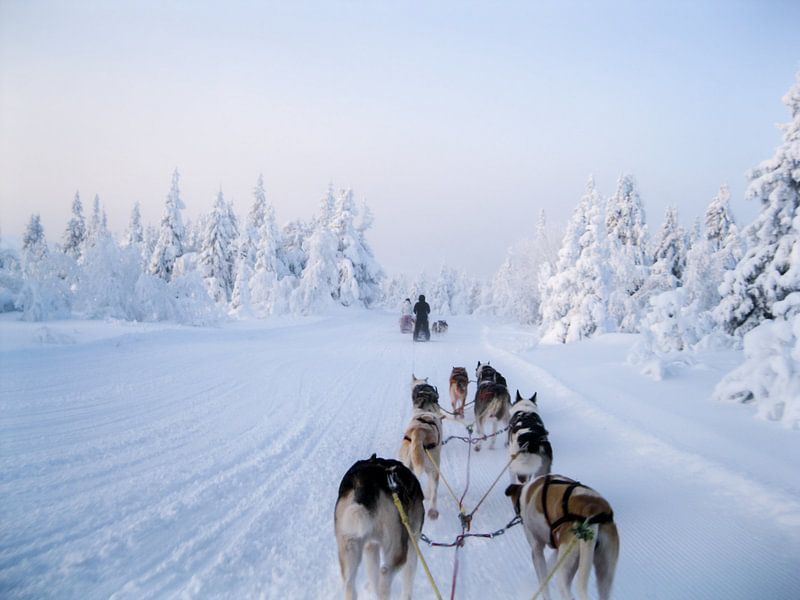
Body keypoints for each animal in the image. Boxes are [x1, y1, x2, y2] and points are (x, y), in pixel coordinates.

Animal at [336, 454, 424, 600]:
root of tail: (365, 481)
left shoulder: (370, 546)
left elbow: (372, 574)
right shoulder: (412, 544)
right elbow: (408, 579)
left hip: (349, 547)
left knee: (350, 585)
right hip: (398, 550)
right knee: (384, 577)